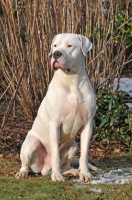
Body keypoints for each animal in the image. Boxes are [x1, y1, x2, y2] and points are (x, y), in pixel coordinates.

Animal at [15, 33, 98, 183]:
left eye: (70, 46)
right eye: (55, 45)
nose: (56, 54)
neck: (71, 80)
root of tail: (44, 169)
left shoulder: (88, 124)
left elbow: (84, 154)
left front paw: (85, 173)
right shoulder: (54, 123)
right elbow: (55, 153)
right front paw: (57, 176)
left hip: (73, 146)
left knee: (66, 164)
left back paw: (73, 171)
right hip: (31, 143)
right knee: (26, 164)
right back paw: (24, 173)